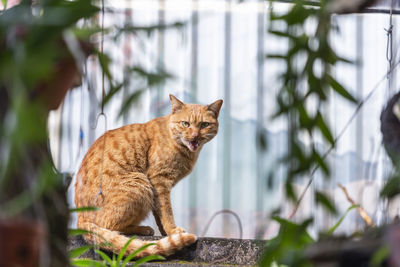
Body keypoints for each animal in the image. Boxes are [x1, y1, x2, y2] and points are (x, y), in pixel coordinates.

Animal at [74, 95, 222, 258]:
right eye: (185, 123)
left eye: (204, 125)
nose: (195, 136)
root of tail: (80, 219)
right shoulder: (159, 180)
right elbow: (166, 210)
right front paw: (173, 230)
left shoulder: (158, 187)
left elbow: (159, 213)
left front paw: (166, 233)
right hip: (140, 183)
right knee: (109, 226)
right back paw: (142, 229)